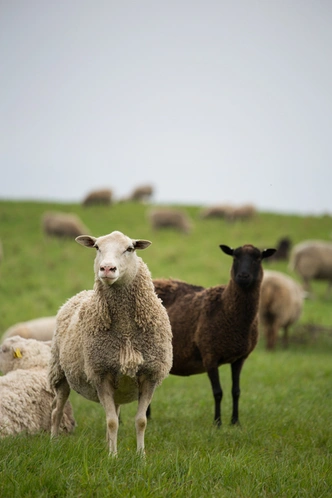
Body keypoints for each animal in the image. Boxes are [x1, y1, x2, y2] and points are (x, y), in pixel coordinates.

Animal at [49, 230, 174, 456]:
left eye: (130, 248)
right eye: (97, 247)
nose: (107, 269)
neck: (125, 333)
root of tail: (76, 296)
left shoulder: (150, 375)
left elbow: (140, 421)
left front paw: (140, 456)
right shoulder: (101, 374)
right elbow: (112, 422)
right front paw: (113, 457)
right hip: (60, 373)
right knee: (57, 411)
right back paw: (53, 443)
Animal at [152, 241, 276, 424]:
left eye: (258, 258)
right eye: (235, 257)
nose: (243, 276)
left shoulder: (240, 358)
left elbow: (236, 391)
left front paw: (235, 422)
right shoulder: (210, 354)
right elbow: (218, 393)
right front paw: (217, 423)